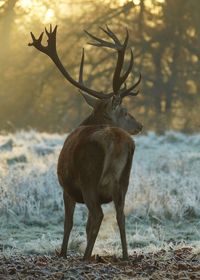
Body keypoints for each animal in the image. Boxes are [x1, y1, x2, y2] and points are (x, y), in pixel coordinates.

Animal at [28, 24, 143, 260]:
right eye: (125, 111)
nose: (140, 125)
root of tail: (116, 140)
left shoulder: (67, 188)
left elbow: (69, 223)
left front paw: (62, 253)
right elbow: (86, 224)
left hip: (88, 178)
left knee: (97, 215)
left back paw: (85, 256)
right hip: (124, 182)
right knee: (120, 215)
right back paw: (125, 255)